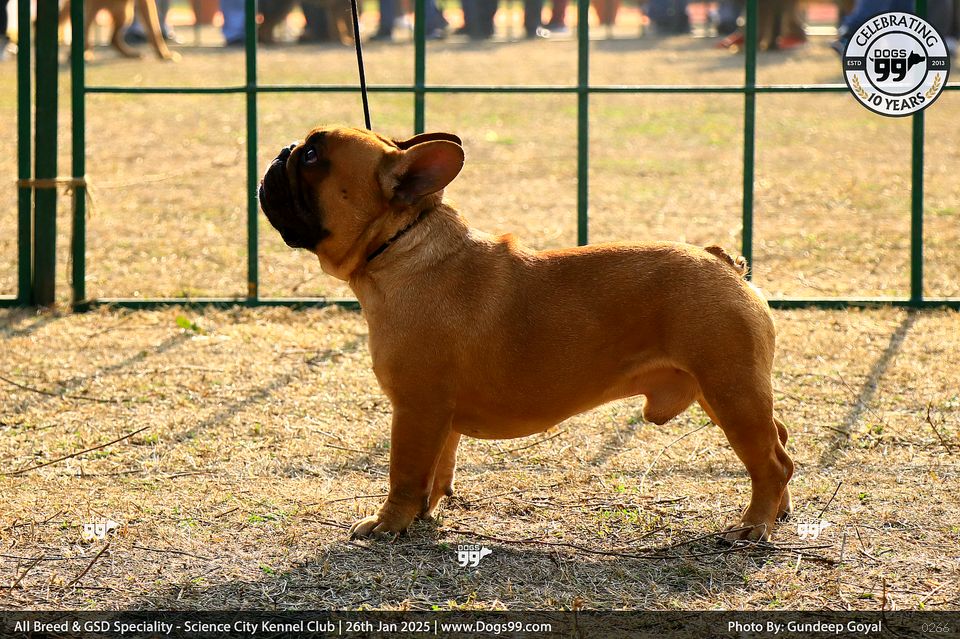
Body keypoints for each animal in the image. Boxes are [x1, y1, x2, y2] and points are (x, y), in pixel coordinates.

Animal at [258, 126, 795, 542]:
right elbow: (439, 467)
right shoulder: (439, 416)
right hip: (720, 389)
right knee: (779, 442)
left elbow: (406, 473)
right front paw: (427, 514)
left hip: (729, 389)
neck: (399, 245)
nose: (282, 149)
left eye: (313, 156)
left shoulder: (416, 408)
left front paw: (390, 524)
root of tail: (724, 263)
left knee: (770, 461)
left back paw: (753, 526)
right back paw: (778, 512)